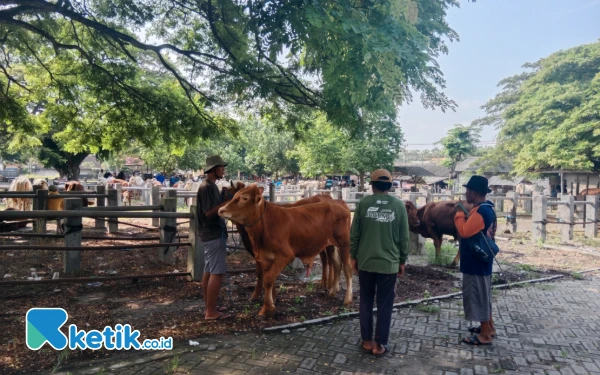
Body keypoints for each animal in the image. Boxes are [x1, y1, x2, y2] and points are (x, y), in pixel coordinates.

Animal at [219, 184, 352, 318]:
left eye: (244, 198)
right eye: (234, 196)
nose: (221, 210)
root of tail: (338, 202)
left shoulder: (286, 256)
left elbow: (267, 278)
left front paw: (267, 307)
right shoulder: (264, 257)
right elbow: (268, 279)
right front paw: (270, 303)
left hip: (344, 244)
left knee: (347, 269)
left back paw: (347, 299)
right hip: (330, 245)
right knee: (336, 264)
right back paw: (332, 291)